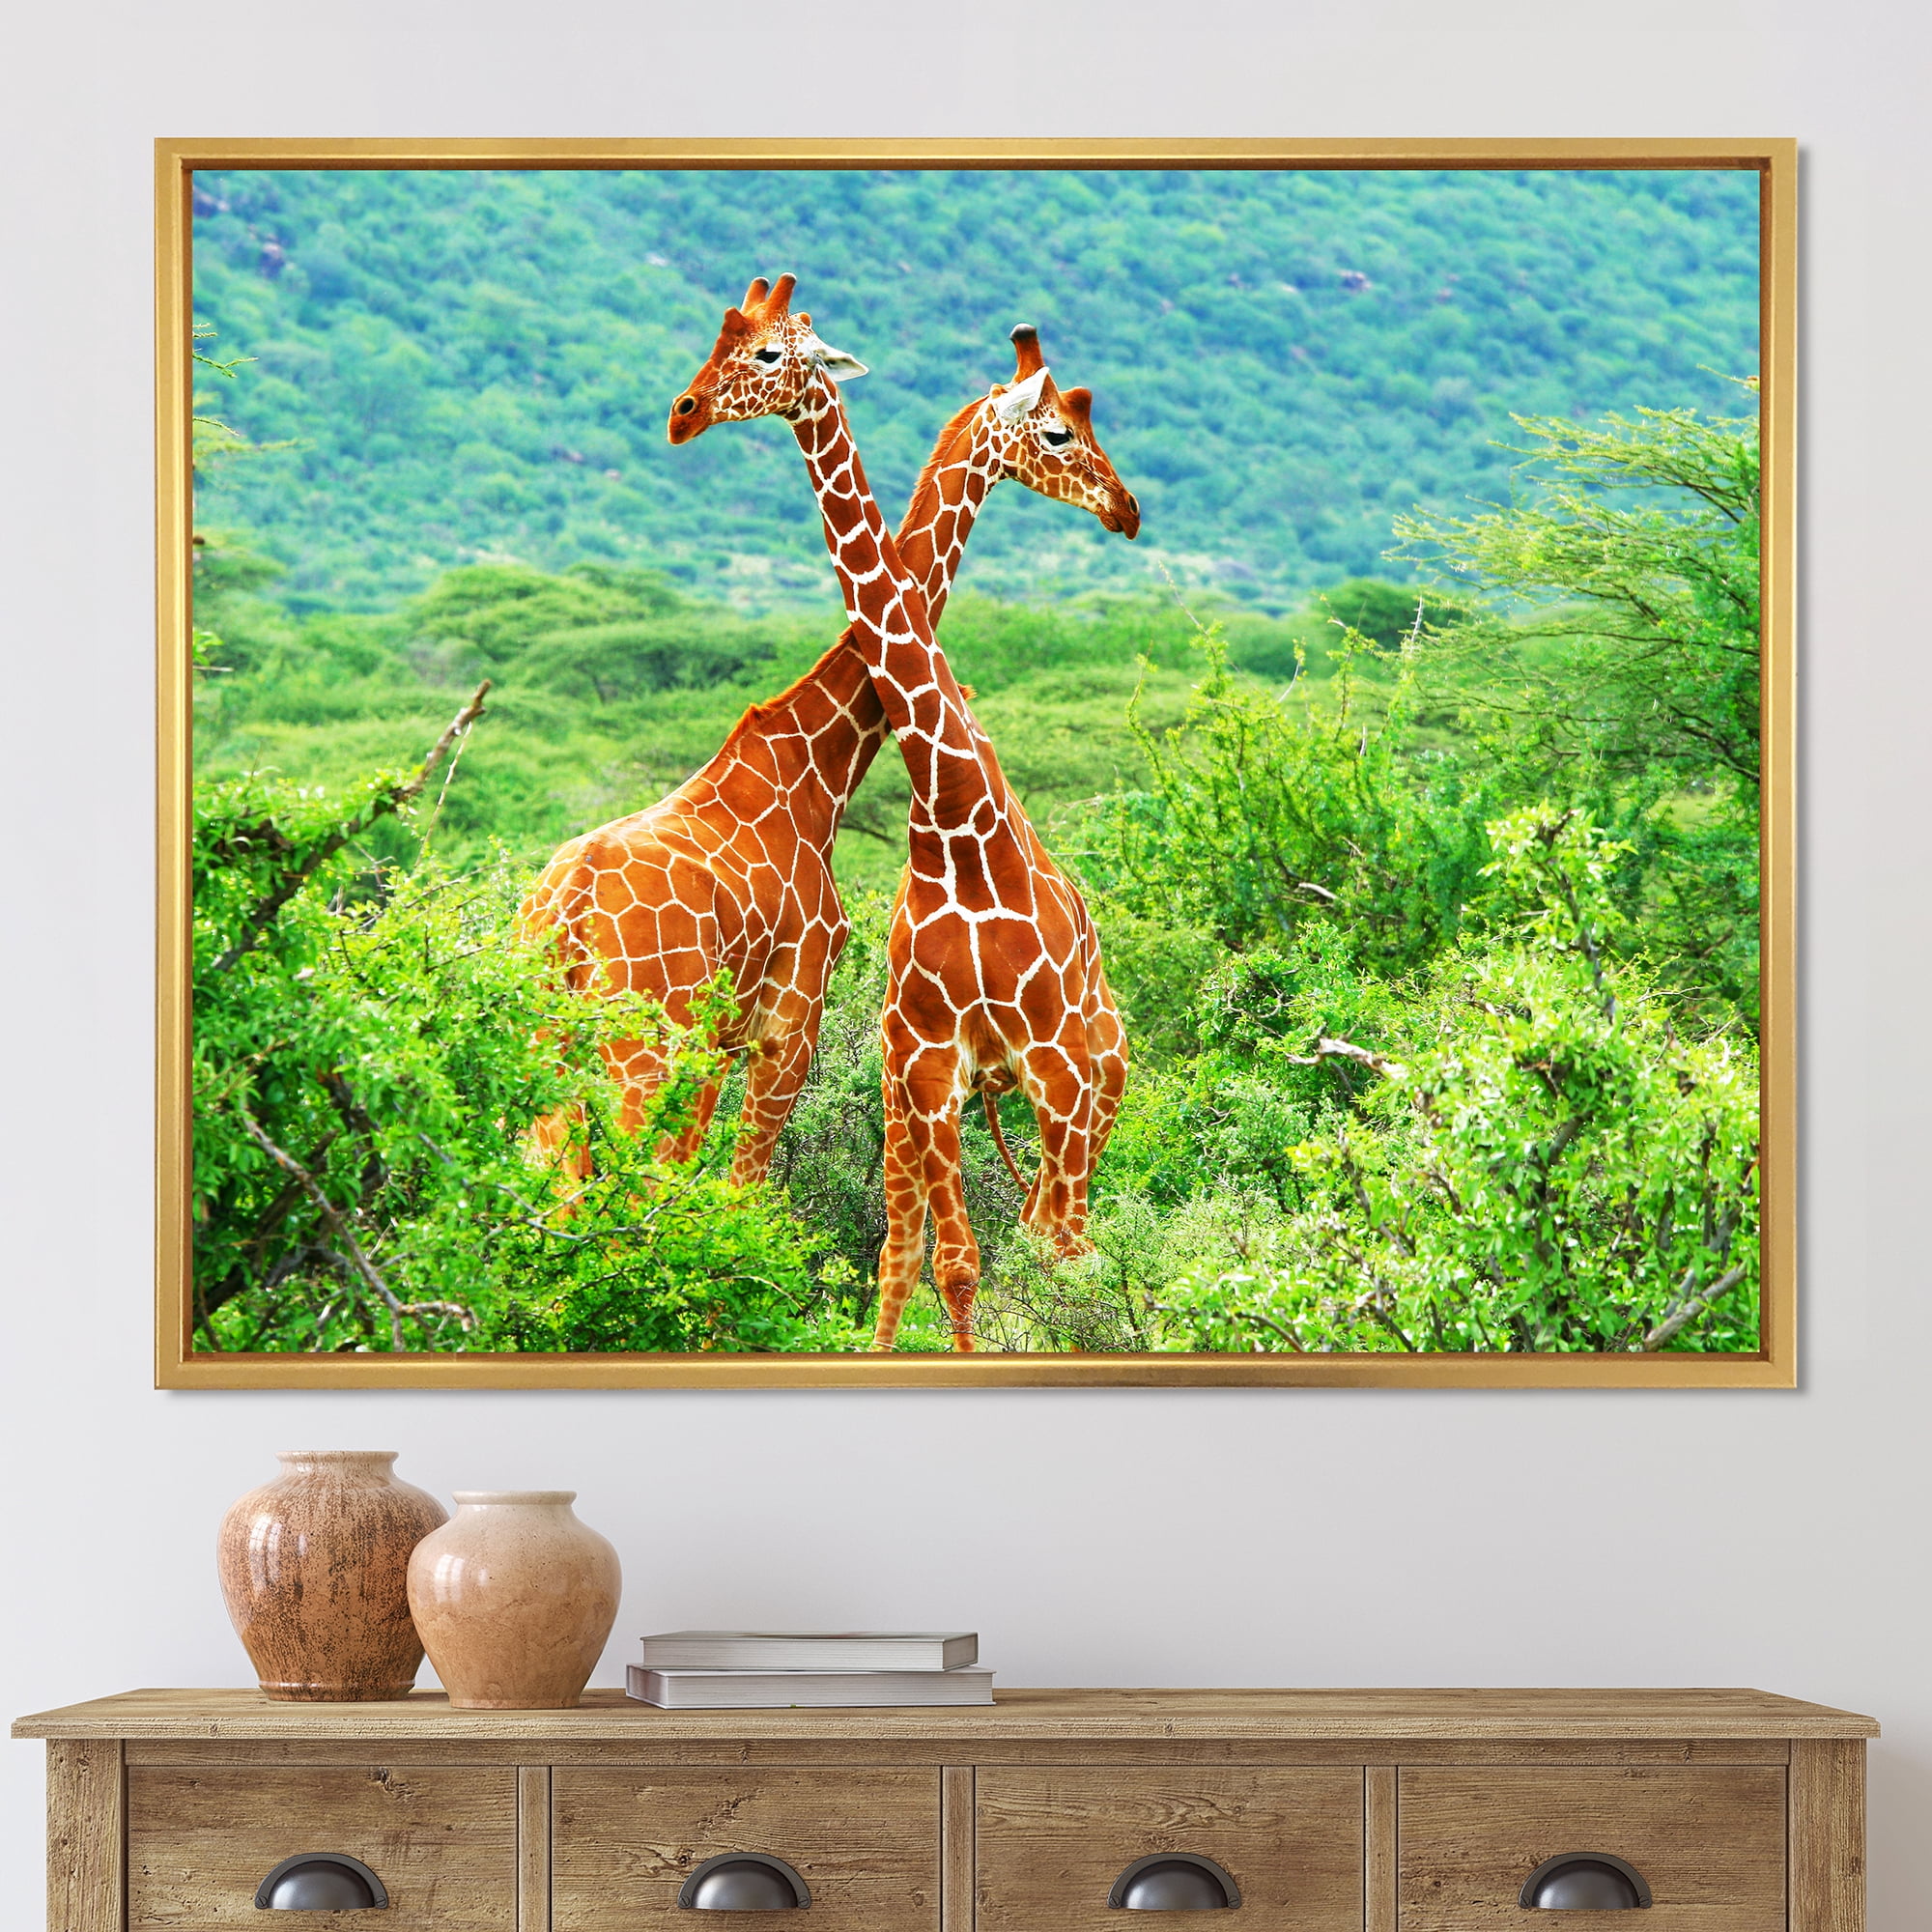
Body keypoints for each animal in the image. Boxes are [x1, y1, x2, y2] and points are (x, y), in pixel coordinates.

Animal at [523, 319, 1139, 1195]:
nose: (1125, 507)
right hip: (642, 1045)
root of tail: (565, 914)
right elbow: (738, 1192)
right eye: (1060, 431)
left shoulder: (730, 1040)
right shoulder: (789, 1023)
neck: (819, 768)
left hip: (553, 1045)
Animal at [670, 276, 1138, 1352]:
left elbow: (1036, 1253)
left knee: (1071, 1235)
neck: (955, 814)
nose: (1127, 509)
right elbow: (946, 1260)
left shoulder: (1051, 1062)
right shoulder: (924, 1061)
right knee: (947, 1238)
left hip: (1097, 1077)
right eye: (1060, 430)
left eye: (766, 353)